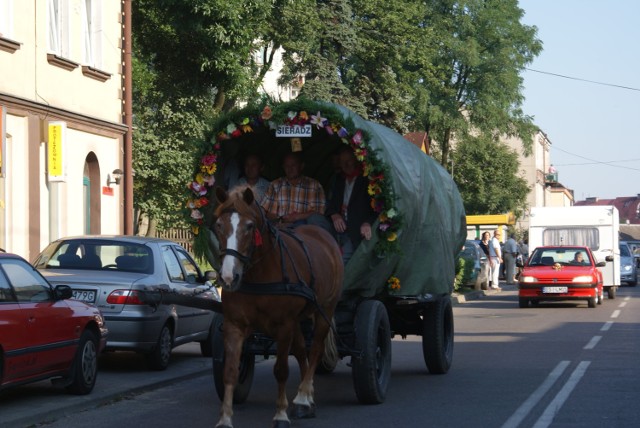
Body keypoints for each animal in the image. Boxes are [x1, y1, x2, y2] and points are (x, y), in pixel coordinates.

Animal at [214, 185, 344, 428]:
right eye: (218, 225)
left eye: (249, 226)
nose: (228, 277)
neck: (259, 273)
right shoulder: (233, 324)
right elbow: (230, 371)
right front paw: (225, 418)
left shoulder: (284, 325)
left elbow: (281, 370)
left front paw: (281, 414)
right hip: (298, 320)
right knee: (302, 351)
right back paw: (306, 397)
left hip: (326, 309)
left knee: (315, 349)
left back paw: (303, 396)